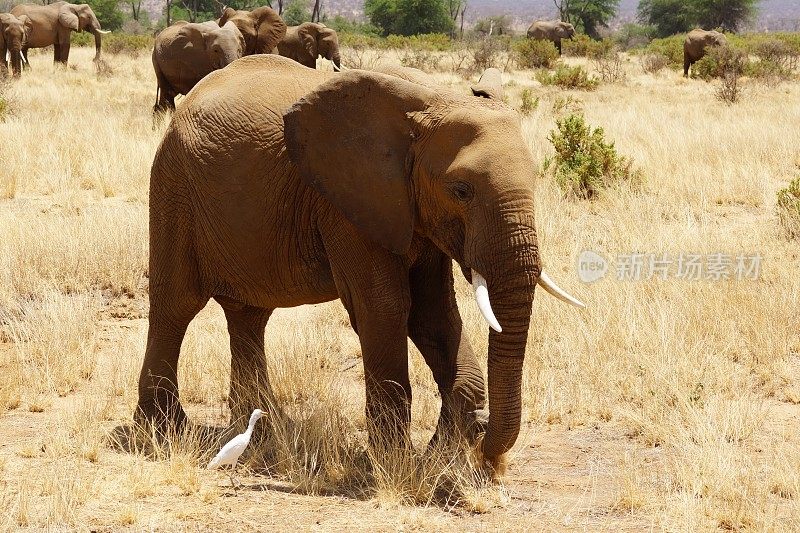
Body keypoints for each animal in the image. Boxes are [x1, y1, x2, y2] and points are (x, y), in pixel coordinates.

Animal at [138, 54, 584, 478]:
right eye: (461, 191)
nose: (488, 456)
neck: (431, 102)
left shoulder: (413, 212)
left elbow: (434, 312)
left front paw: (440, 454)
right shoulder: (347, 202)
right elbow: (385, 307)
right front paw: (396, 464)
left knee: (249, 315)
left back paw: (266, 429)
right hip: (174, 187)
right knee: (176, 306)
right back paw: (164, 429)